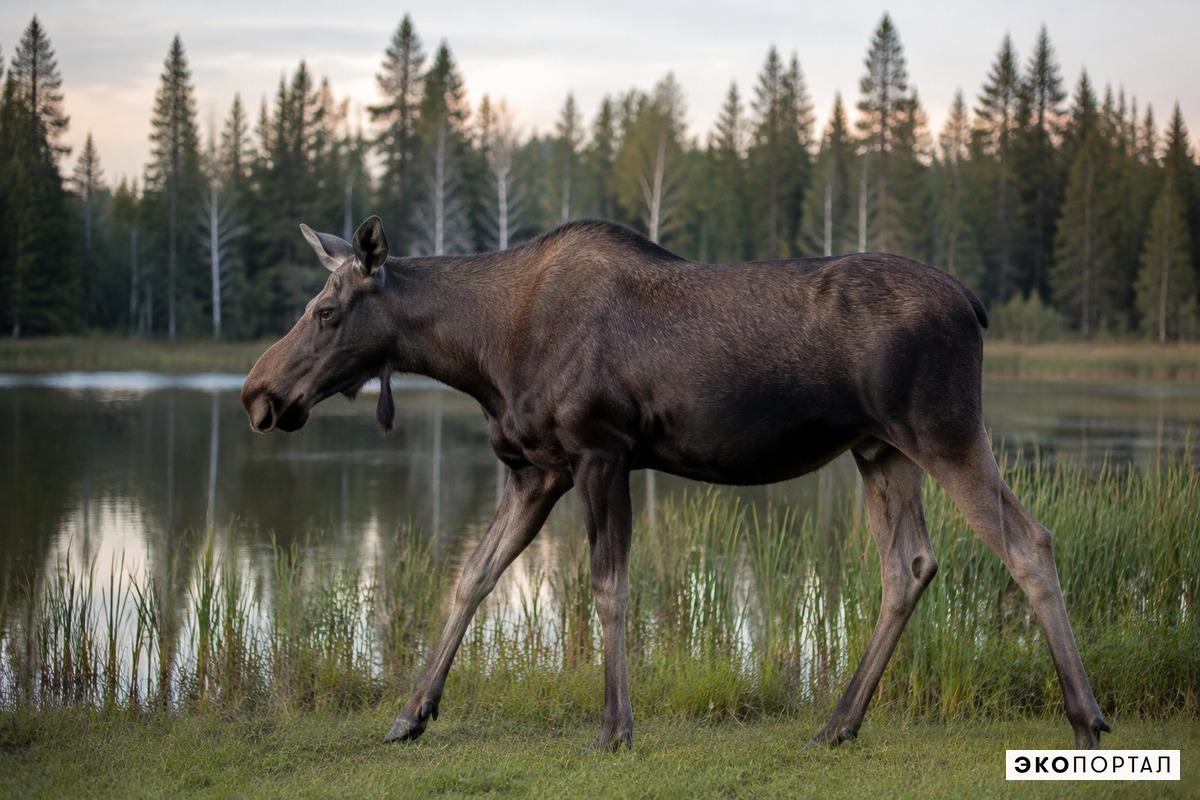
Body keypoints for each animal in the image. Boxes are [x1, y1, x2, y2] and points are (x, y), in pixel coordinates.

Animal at [242, 215, 1109, 752]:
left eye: (324, 311)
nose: (256, 392)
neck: (479, 356)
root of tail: (975, 303)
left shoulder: (600, 450)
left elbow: (607, 588)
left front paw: (614, 728)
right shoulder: (536, 469)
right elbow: (471, 578)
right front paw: (410, 714)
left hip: (945, 431)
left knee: (1029, 542)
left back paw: (1086, 715)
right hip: (880, 449)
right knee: (911, 565)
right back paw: (838, 722)